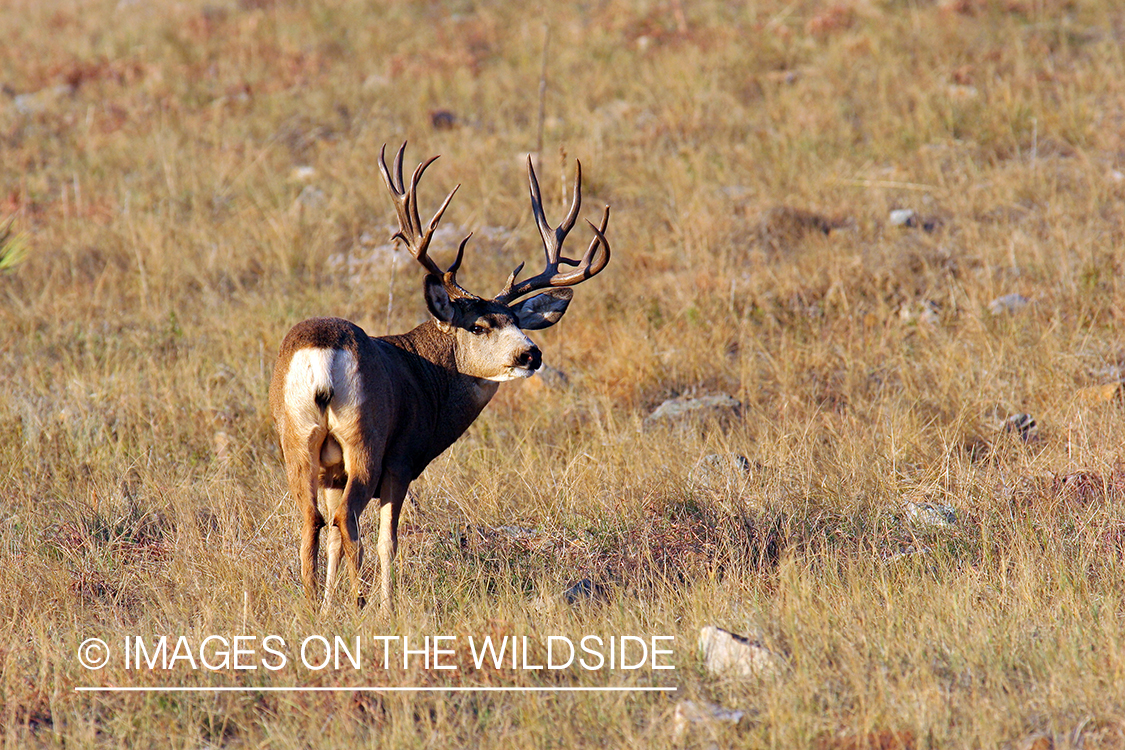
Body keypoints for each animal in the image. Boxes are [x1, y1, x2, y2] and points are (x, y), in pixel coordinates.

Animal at [268, 143, 611, 614]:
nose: (531, 353)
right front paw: (386, 607)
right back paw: (361, 601)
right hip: (365, 437)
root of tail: (321, 354)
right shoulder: (402, 459)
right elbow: (387, 541)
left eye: (517, 321)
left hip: (297, 440)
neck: (426, 375)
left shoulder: (333, 471)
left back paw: (309, 605)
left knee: (312, 522)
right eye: (479, 326)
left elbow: (335, 540)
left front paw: (326, 606)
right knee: (347, 519)